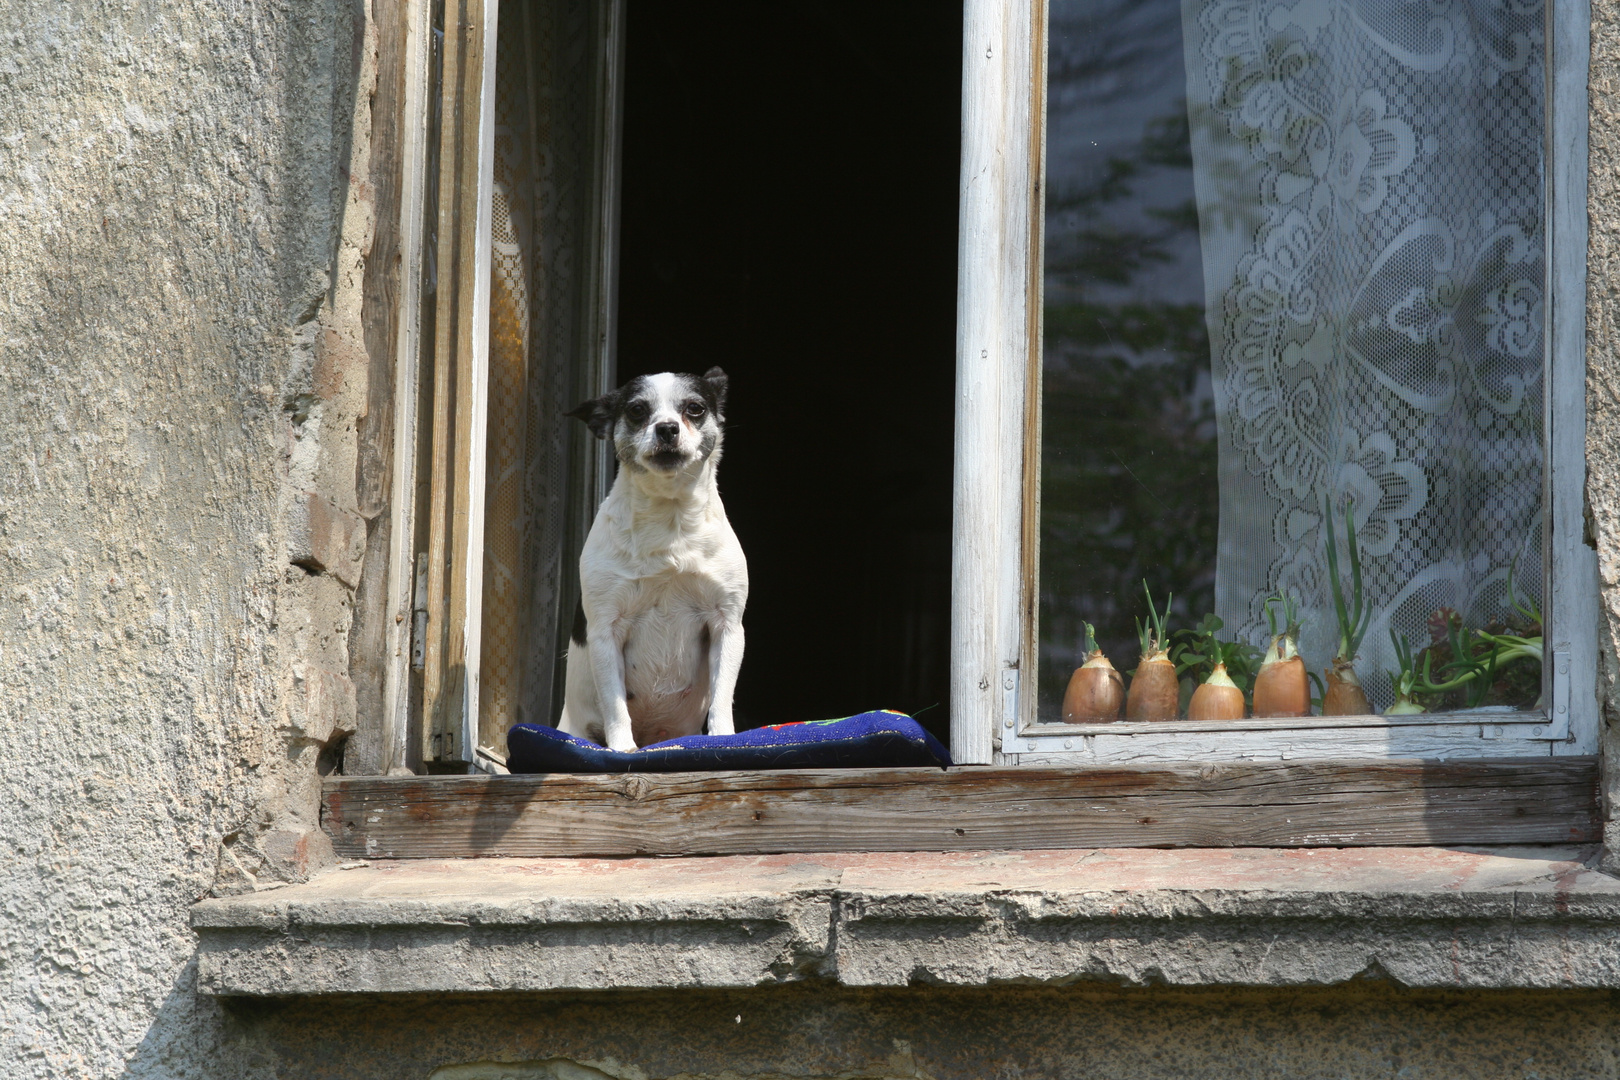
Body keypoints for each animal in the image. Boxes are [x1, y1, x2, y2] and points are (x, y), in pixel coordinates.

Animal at [557, 369, 745, 751]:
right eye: (637, 411)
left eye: (695, 408)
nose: (667, 428)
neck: (669, 518)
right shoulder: (605, 633)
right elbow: (615, 704)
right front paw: (622, 749)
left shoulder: (728, 626)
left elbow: (721, 697)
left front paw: (722, 739)